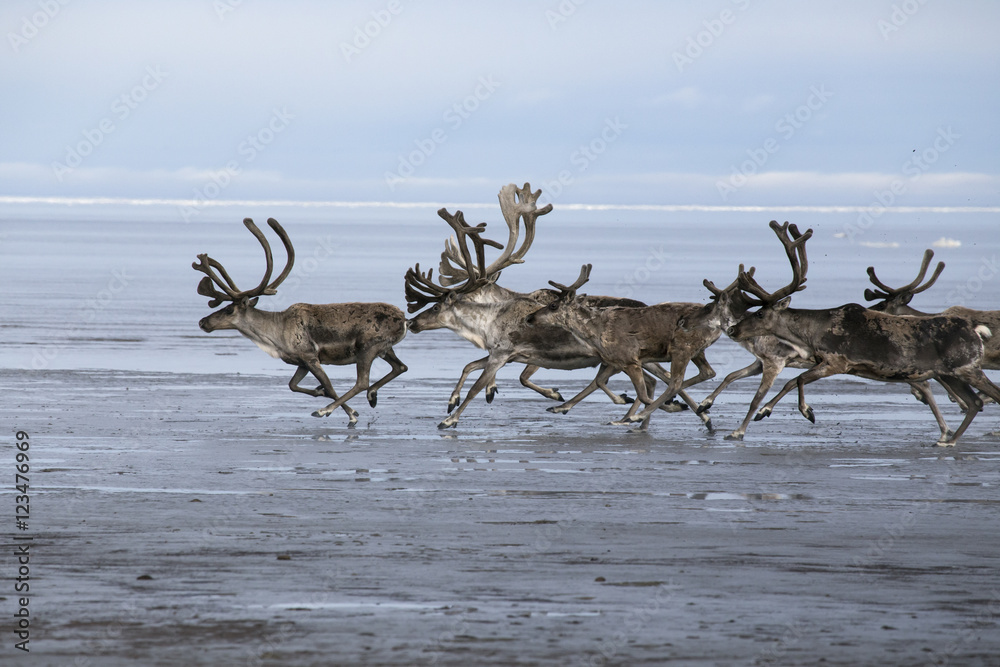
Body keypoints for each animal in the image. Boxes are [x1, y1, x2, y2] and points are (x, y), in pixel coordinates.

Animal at [194, 217, 408, 425]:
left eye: (229, 309)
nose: (203, 322)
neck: (274, 336)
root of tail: (404, 320)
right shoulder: (301, 362)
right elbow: (292, 385)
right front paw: (320, 392)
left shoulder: (309, 356)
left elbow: (329, 385)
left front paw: (350, 413)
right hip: (385, 348)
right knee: (400, 367)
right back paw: (372, 395)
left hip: (367, 348)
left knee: (362, 381)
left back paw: (327, 409)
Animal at [405, 183, 709, 429]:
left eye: (435, 307)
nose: (411, 322)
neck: (487, 322)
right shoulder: (507, 356)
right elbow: (469, 366)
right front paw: (452, 400)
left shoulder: (502, 354)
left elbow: (477, 386)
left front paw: (450, 419)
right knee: (659, 379)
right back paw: (682, 413)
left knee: (659, 379)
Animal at [727, 246, 1000, 446]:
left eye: (760, 314)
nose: (732, 330)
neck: (810, 334)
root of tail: (976, 331)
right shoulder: (826, 362)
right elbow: (792, 382)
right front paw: (765, 411)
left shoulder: (837, 362)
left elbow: (798, 379)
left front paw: (806, 411)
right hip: (951, 373)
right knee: (975, 403)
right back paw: (948, 441)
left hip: (968, 368)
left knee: (990, 395)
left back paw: (950, 438)